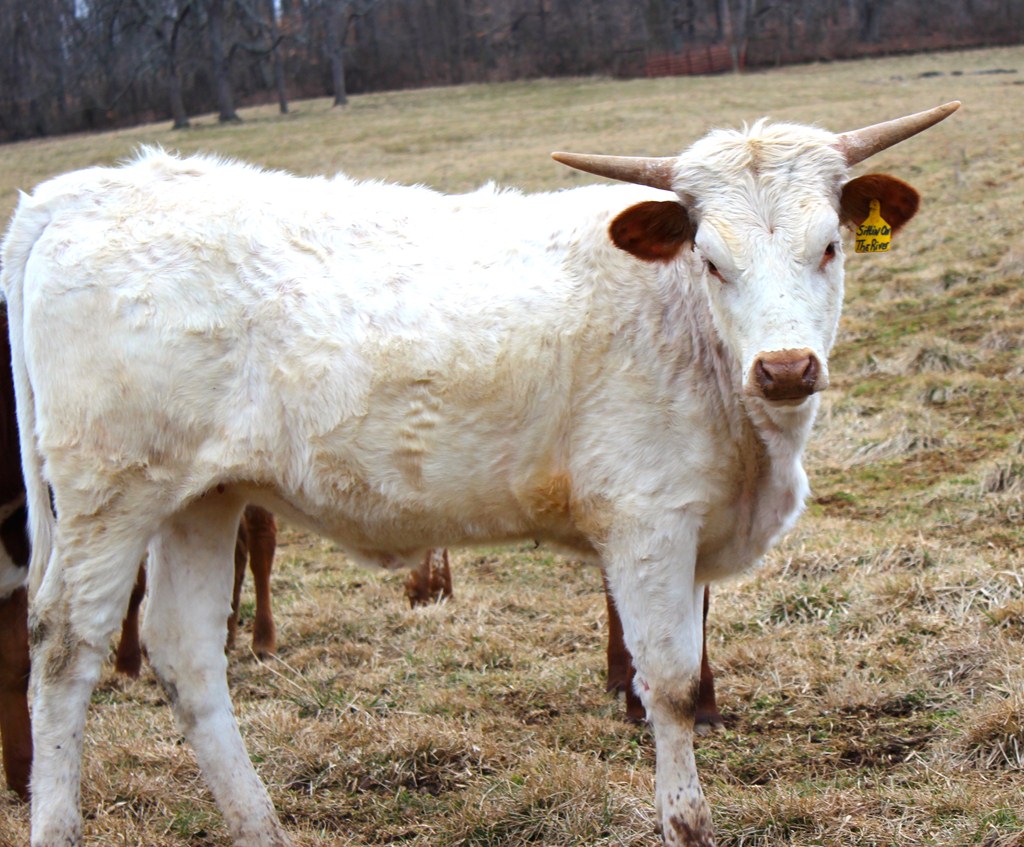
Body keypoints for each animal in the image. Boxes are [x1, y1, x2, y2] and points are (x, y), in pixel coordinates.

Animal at [1, 101, 957, 847]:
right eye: (713, 260)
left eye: (829, 246)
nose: (787, 368)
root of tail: (78, 190)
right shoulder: (649, 524)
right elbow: (672, 686)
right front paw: (686, 819)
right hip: (109, 495)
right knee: (65, 646)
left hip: (201, 496)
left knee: (186, 650)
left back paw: (260, 825)